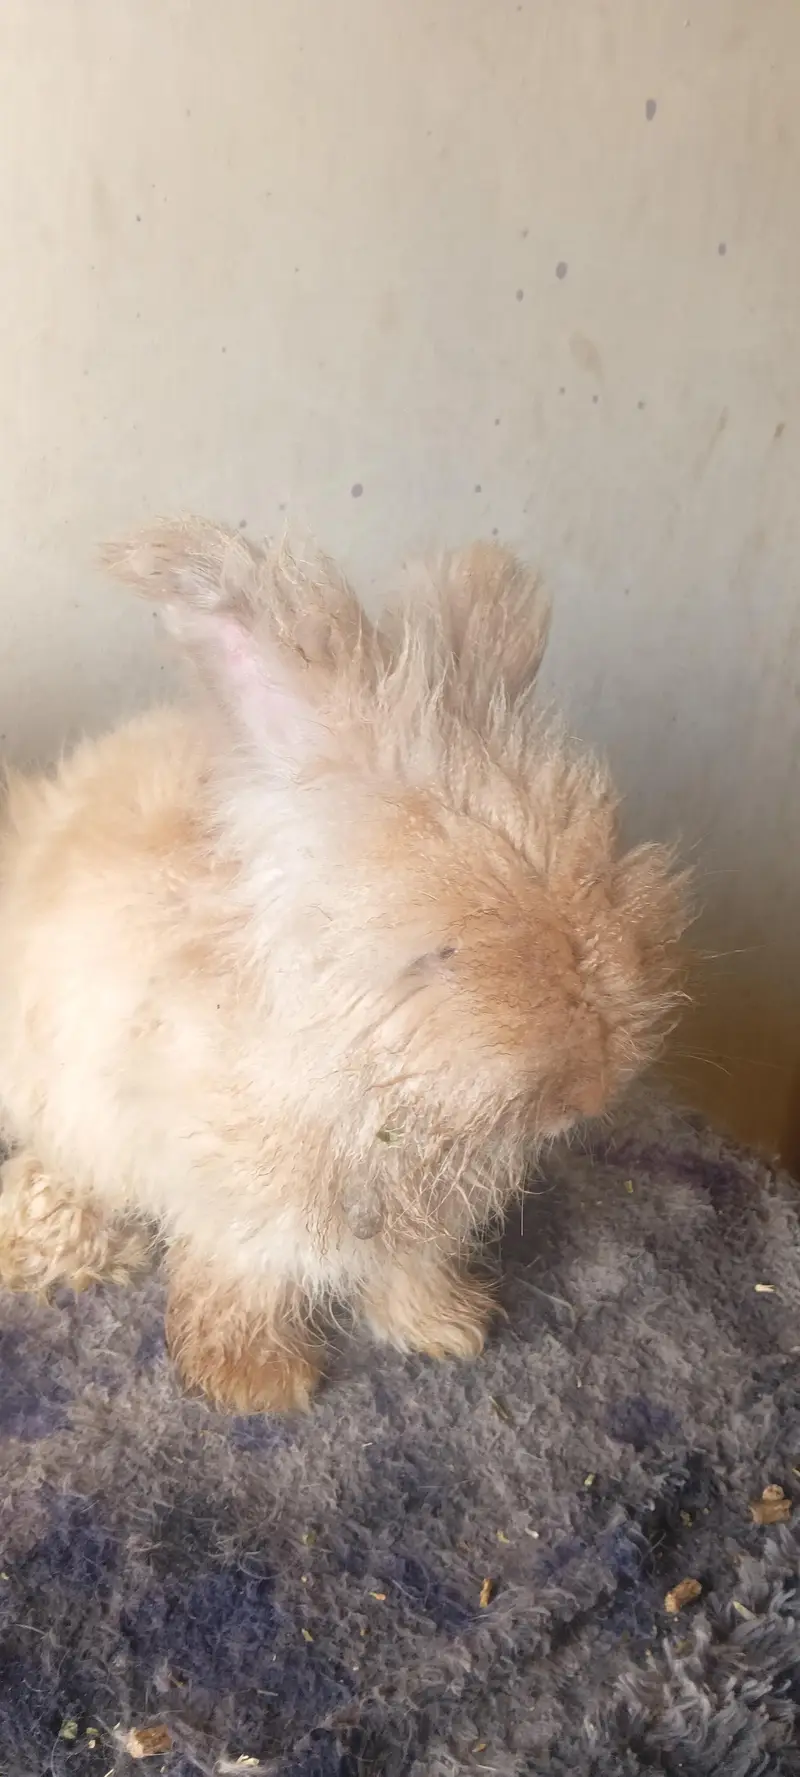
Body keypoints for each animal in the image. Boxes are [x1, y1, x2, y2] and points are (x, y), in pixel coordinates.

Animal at [0, 520, 688, 1413]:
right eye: (437, 955)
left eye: (609, 879)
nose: (591, 1090)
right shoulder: (238, 1211)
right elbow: (244, 1283)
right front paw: (257, 1383)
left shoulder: (415, 1228)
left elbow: (409, 1273)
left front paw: (448, 1330)